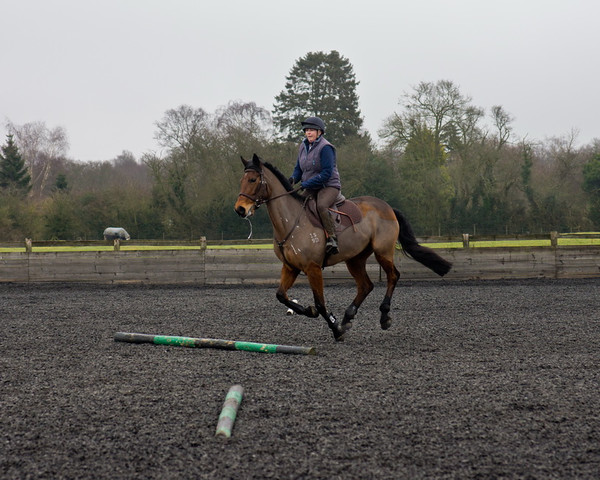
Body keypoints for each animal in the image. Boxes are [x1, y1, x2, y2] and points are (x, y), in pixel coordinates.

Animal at [234, 154, 450, 342]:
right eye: (242, 180)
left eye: (252, 179)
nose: (240, 209)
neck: (291, 222)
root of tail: (387, 207)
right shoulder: (290, 267)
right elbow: (281, 295)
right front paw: (311, 312)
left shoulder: (313, 268)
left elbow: (320, 303)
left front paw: (335, 328)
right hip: (355, 259)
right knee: (366, 285)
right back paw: (348, 317)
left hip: (383, 252)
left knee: (393, 276)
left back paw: (384, 316)